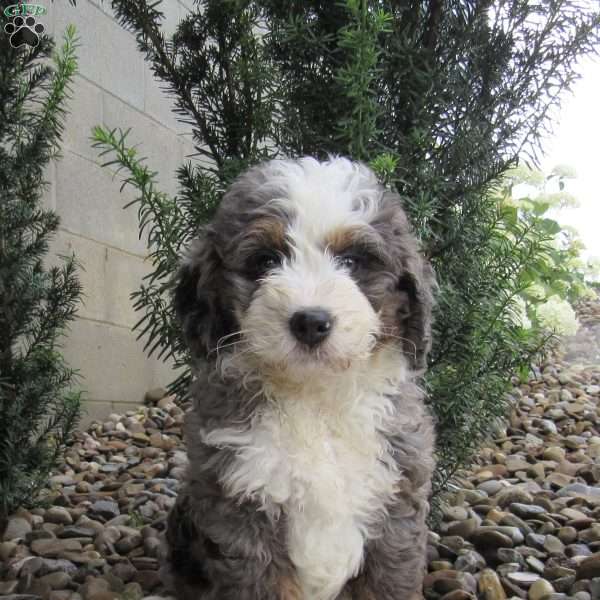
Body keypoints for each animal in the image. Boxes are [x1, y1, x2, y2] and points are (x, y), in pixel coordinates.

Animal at [163, 156, 436, 600]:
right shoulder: (241, 510)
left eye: (353, 262)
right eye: (265, 260)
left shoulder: (395, 502)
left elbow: (388, 582)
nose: (310, 321)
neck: (315, 398)